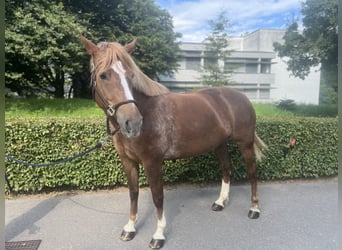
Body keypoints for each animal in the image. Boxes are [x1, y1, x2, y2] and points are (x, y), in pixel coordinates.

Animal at [81, 36, 268, 249]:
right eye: (103, 75)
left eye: (130, 75)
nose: (133, 122)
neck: (148, 111)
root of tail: (243, 97)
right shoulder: (128, 162)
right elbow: (133, 193)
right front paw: (130, 228)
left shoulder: (152, 162)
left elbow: (157, 196)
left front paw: (158, 235)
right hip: (220, 145)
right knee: (226, 169)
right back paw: (220, 202)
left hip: (245, 144)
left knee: (252, 173)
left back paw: (254, 209)